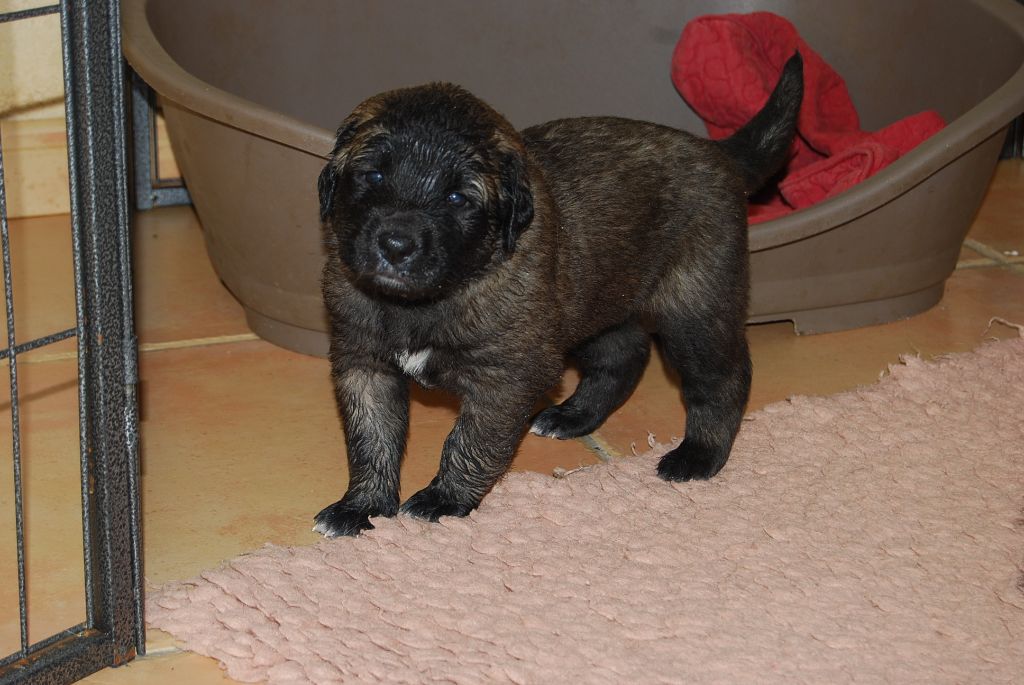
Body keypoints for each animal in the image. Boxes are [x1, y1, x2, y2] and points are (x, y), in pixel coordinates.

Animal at [313, 53, 803, 537]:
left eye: (458, 198)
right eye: (373, 174)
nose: (396, 245)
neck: (430, 298)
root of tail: (716, 151)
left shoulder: (506, 377)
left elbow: (470, 441)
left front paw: (444, 499)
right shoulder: (364, 364)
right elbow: (371, 439)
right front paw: (363, 506)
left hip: (695, 309)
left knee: (723, 377)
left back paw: (698, 455)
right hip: (594, 305)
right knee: (624, 356)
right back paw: (573, 416)